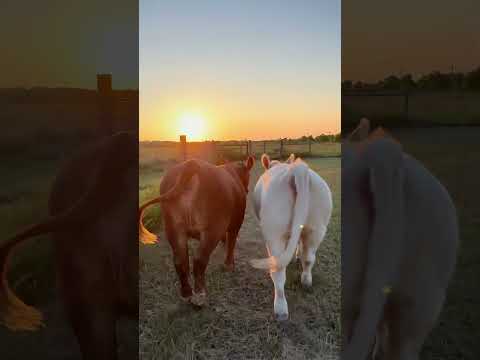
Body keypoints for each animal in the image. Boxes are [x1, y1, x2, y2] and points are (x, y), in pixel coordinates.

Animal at [139, 156, 255, 306]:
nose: (247, 189)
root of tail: (191, 165)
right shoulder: (235, 223)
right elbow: (232, 242)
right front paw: (229, 265)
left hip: (173, 229)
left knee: (180, 260)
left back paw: (186, 293)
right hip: (211, 230)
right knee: (200, 260)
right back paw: (199, 295)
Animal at [249, 153, 332, 320]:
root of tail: (297, 170)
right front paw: (296, 256)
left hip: (274, 232)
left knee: (278, 269)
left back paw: (280, 309)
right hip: (317, 227)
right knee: (309, 258)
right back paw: (306, 281)